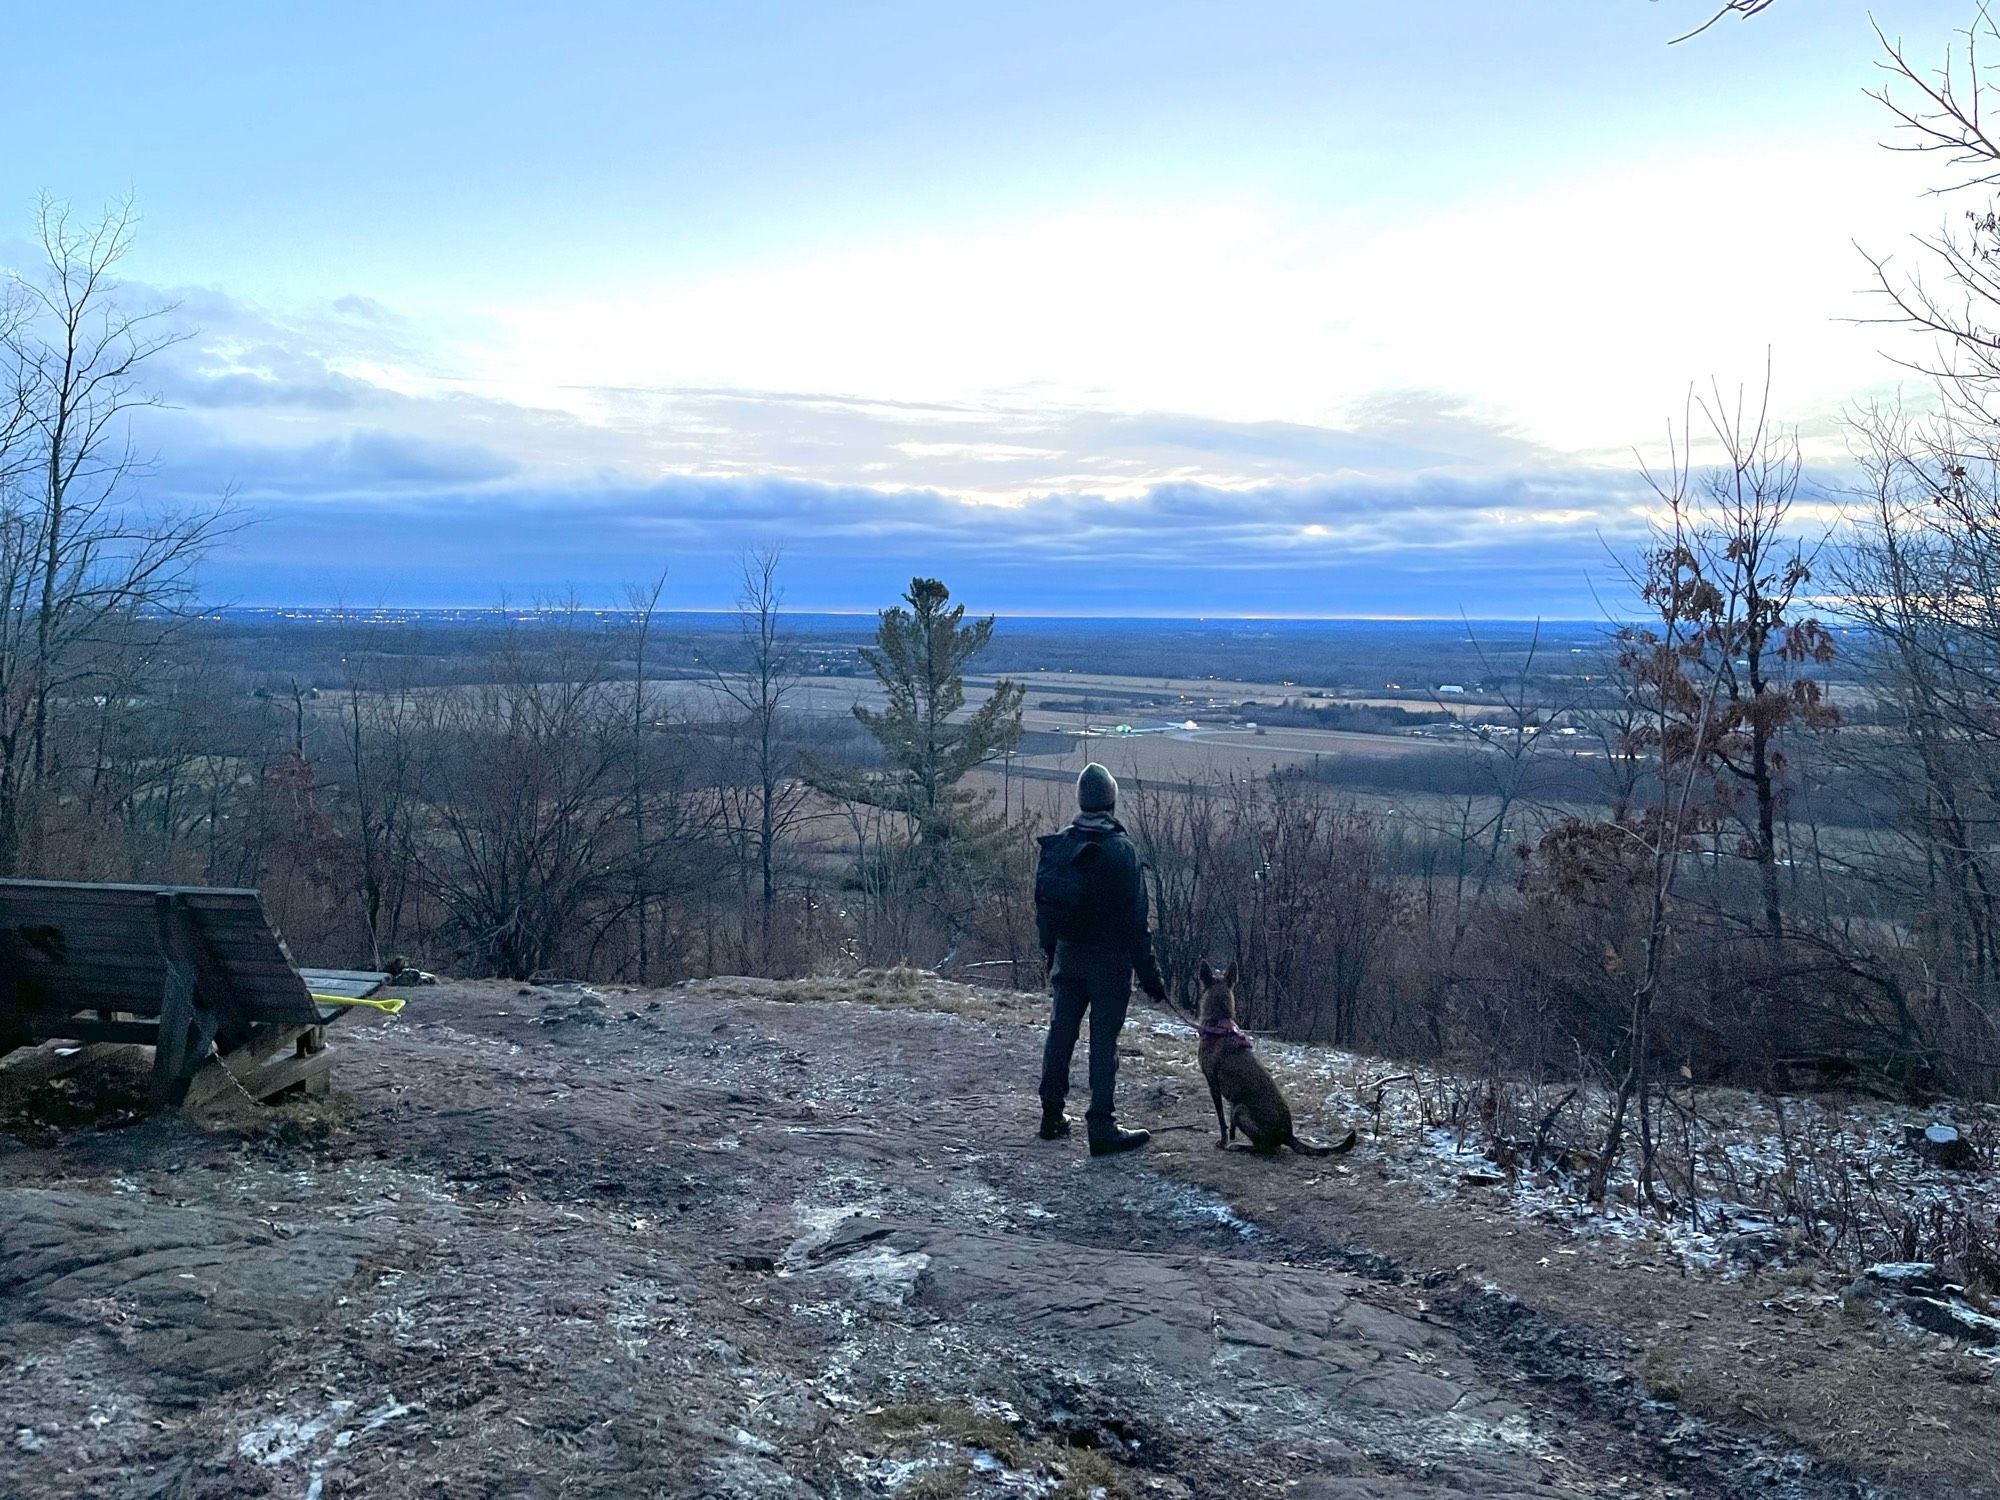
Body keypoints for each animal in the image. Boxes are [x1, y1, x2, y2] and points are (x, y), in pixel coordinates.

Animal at [1192, 964, 1368, 1160]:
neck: (1219, 1026)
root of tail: (1288, 1135)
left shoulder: (1213, 1084)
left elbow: (1222, 1120)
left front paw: (1223, 1142)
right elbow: (1229, 1126)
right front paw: (1230, 1137)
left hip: (1240, 1109)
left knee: (1267, 1148)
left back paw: (1240, 1146)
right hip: (1238, 1107)